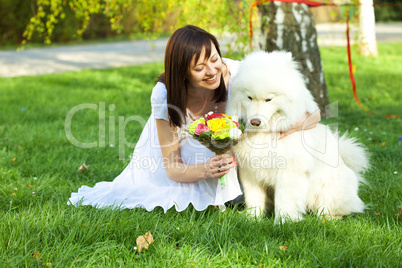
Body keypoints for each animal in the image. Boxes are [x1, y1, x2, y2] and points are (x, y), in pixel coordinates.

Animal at [228, 51, 370, 223]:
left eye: (269, 99)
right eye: (249, 97)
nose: (255, 121)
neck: (266, 134)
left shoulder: (289, 173)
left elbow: (284, 200)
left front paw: (283, 222)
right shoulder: (250, 173)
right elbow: (254, 199)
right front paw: (252, 219)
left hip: (325, 188)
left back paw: (328, 217)